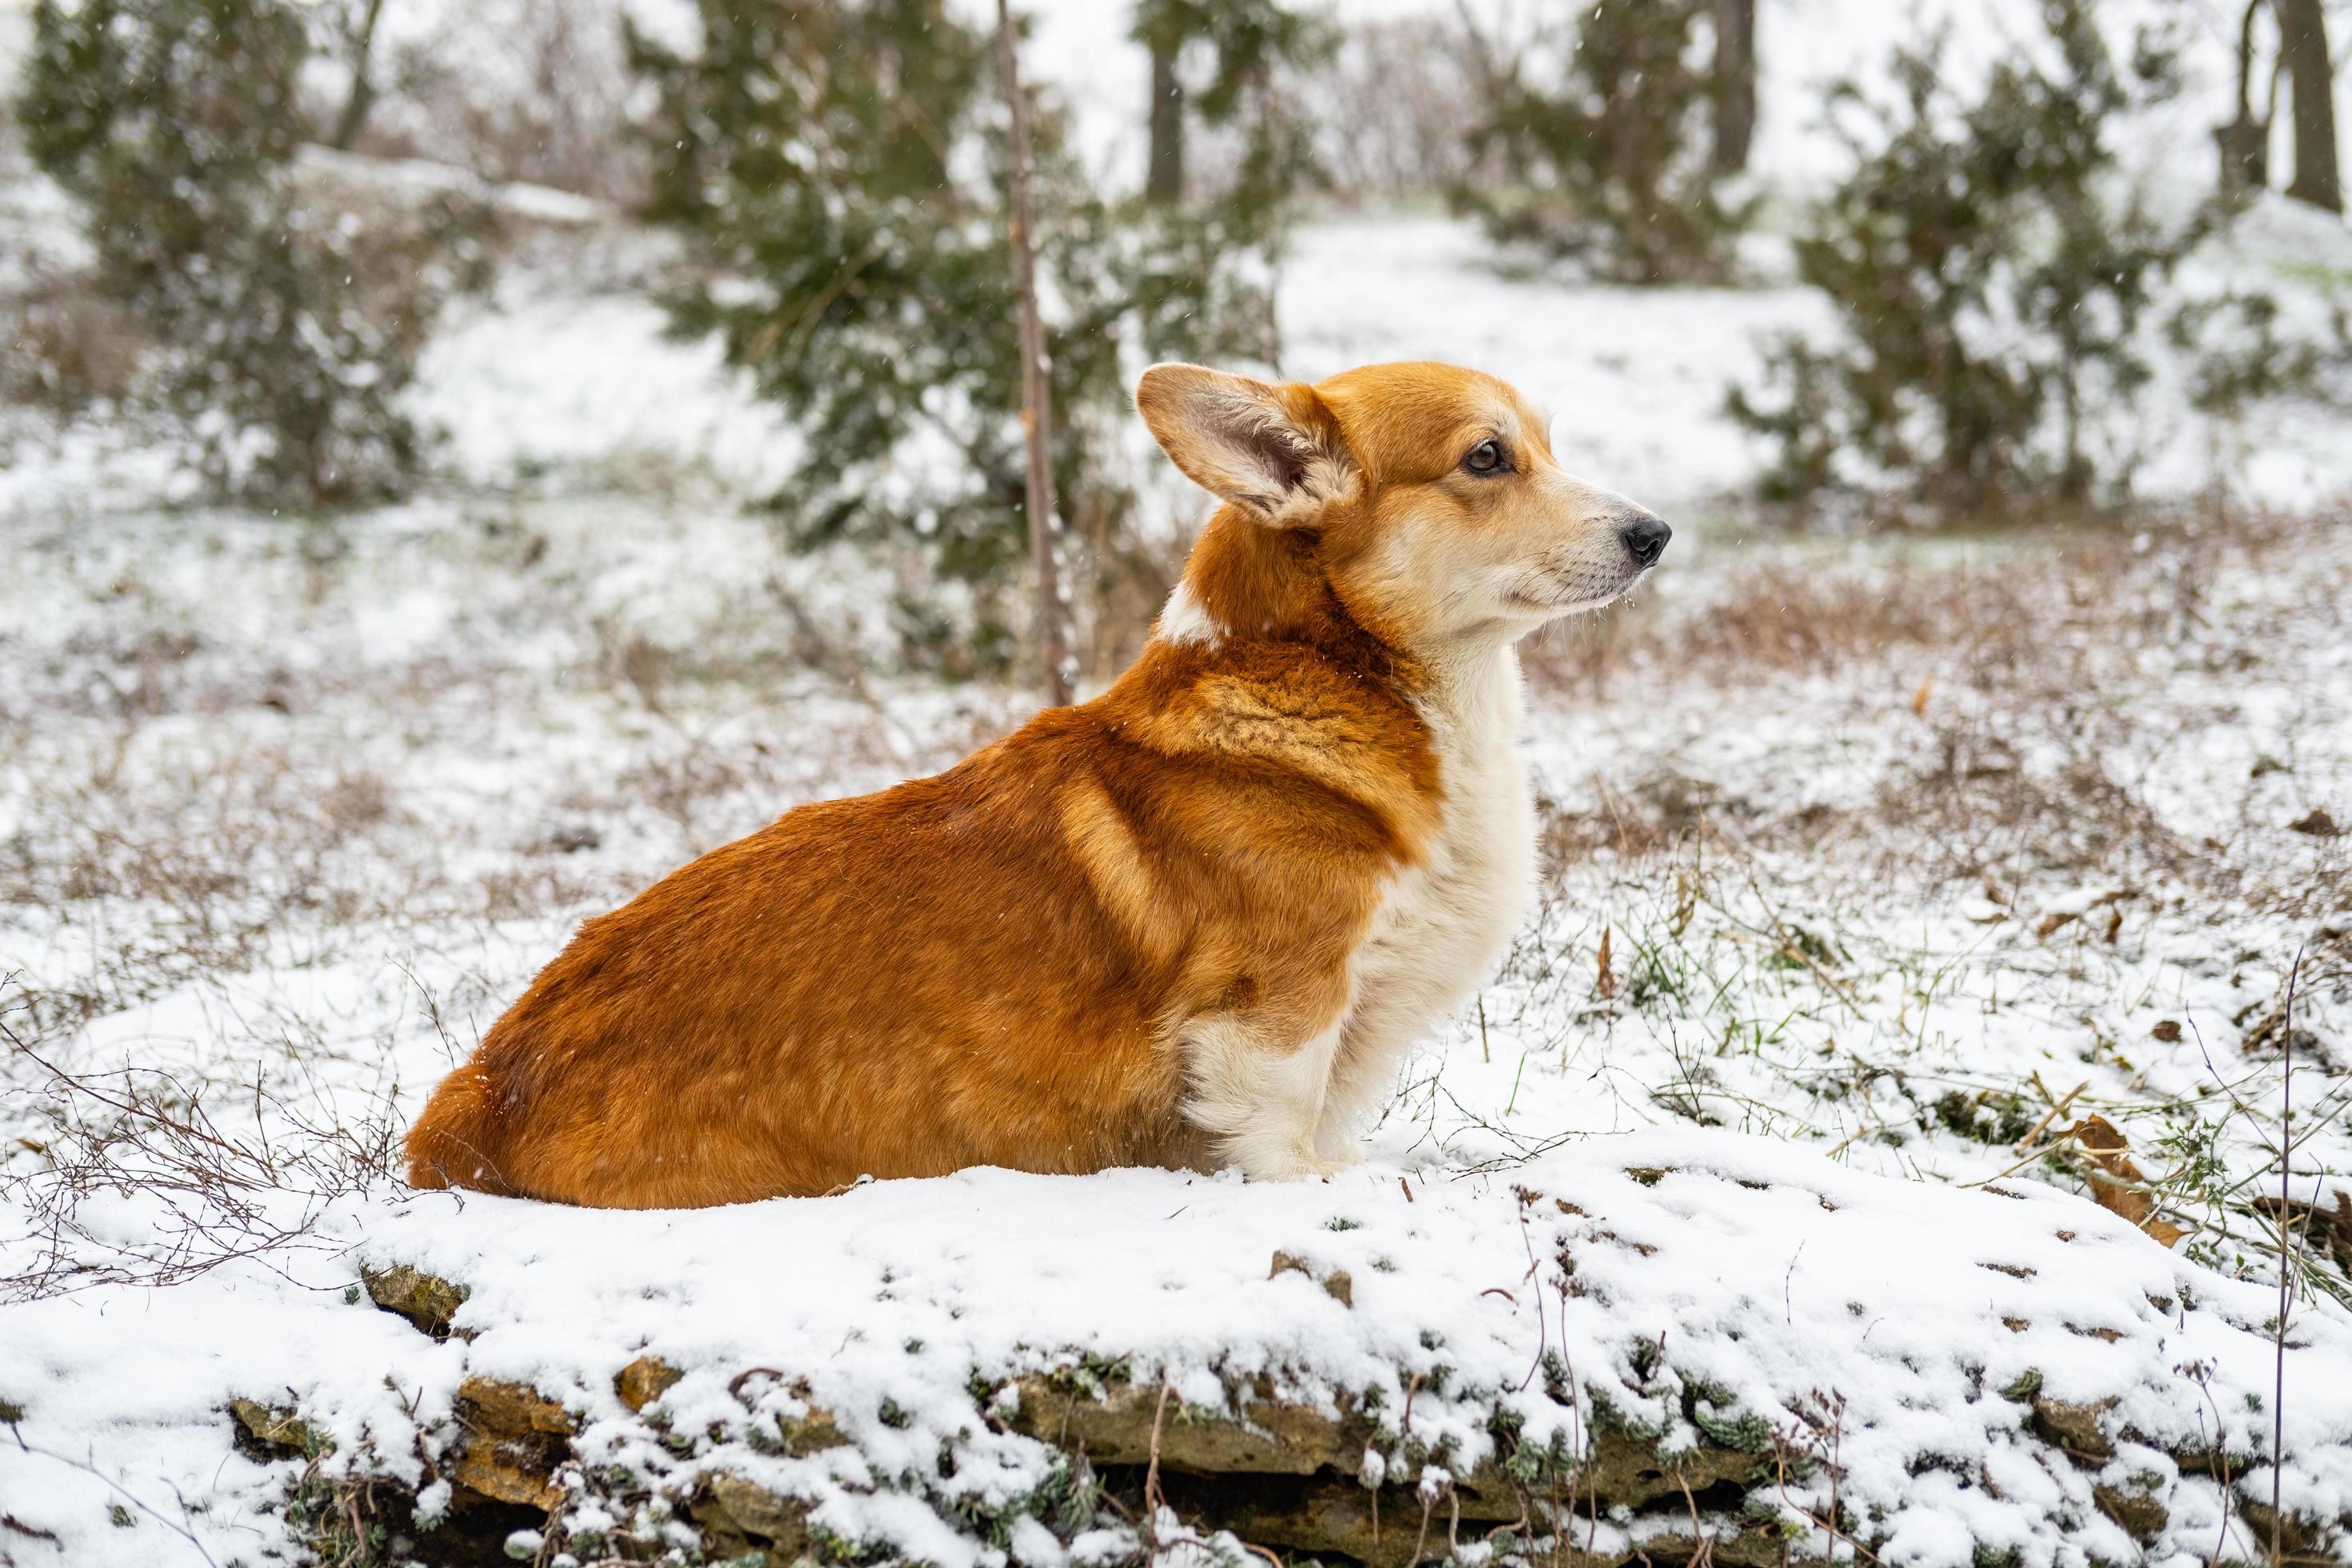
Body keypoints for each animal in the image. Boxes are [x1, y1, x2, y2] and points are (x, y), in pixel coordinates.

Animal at [409, 362, 1674, 1213]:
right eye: (1486, 459)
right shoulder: (1278, 1005)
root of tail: (480, 1092)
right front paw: (1332, 1190)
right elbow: (1277, 1130)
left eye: (1543, 444)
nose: (1657, 533)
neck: (1347, 682)